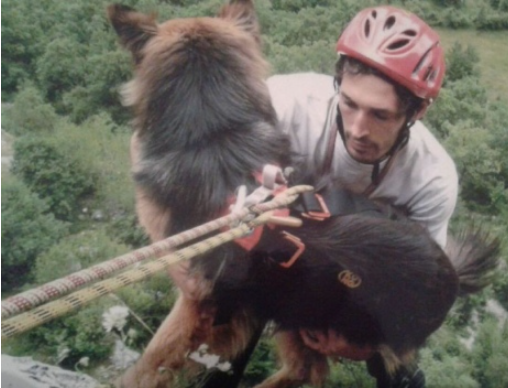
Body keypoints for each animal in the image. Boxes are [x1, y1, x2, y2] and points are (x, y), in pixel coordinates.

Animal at [108, 1, 500, 386]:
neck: (217, 135)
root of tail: (450, 274)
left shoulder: (198, 300)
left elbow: (152, 363)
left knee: (312, 370)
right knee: (306, 369)